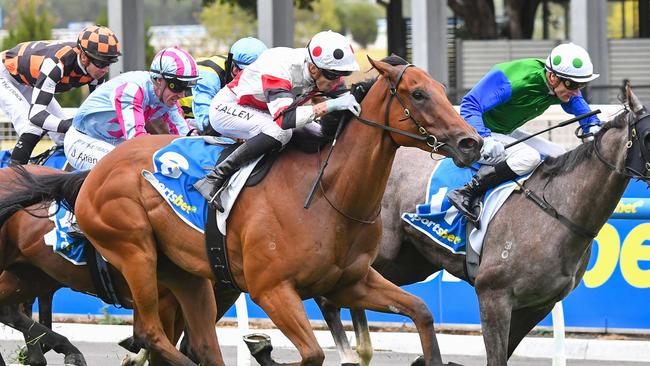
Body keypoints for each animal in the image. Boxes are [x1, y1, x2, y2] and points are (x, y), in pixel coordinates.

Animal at [0, 58, 480, 364]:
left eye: (442, 91)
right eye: (418, 94)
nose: (470, 142)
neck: (326, 194)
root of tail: (92, 174)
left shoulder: (350, 282)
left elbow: (421, 313)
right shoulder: (272, 289)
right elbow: (311, 354)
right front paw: (263, 349)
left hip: (179, 277)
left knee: (193, 344)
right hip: (136, 254)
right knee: (150, 335)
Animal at [314, 86, 644, 366]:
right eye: (648, 133)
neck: (556, 210)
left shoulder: (537, 305)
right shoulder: (493, 293)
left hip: (407, 263)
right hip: (378, 254)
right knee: (327, 295)